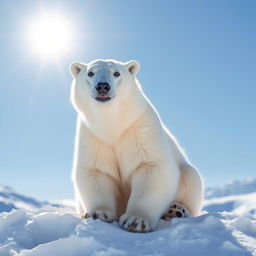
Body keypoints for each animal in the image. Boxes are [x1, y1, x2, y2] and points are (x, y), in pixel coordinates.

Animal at [69, 59, 204, 232]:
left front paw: (136, 220)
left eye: (116, 73)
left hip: (188, 173)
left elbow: (151, 166)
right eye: (90, 73)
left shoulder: (140, 127)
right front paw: (96, 214)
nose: (102, 86)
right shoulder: (93, 136)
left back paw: (176, 210)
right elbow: (96, 171)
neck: (112, 125)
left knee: (191, 180)